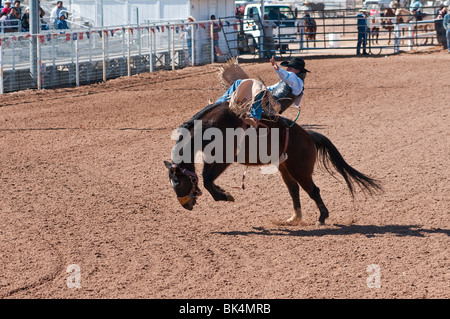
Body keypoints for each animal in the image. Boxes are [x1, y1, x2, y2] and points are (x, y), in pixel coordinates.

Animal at [163, 102, 382, 225]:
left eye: (178, 183)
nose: (186, 206)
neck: (209, 126)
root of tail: (308, 136)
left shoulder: (223, 158)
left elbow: (208, 180)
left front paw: (225, 196)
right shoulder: (212, 157)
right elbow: (206, 179)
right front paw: (223, 193)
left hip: (300, 170)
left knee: (313, 190)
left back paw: (322, 217)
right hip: (285, 168)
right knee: (294, 190)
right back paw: (294, 218)